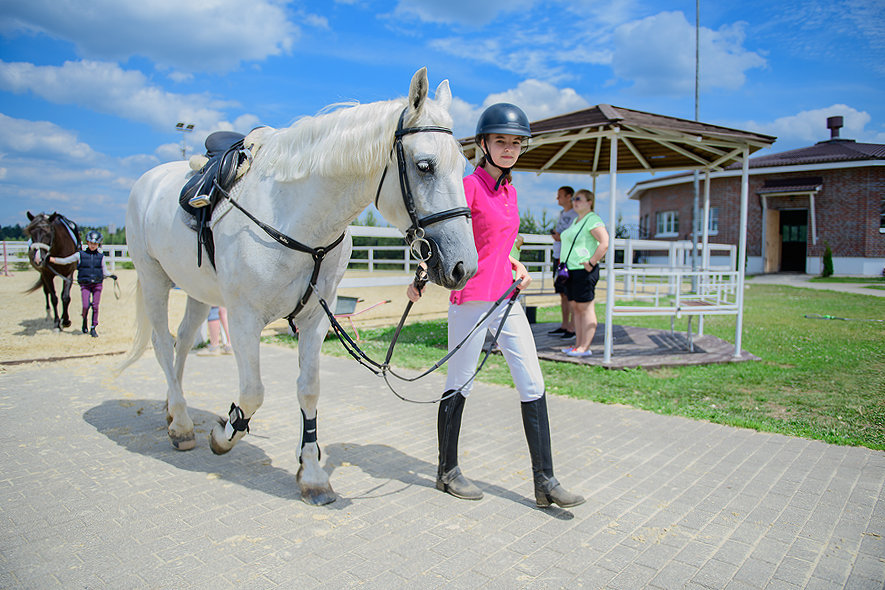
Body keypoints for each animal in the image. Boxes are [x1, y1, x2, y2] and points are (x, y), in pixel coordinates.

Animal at [119, 67, 476, 506]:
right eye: (425, 166)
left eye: (462, 166)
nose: (463, 266)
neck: (294, 218)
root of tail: (148, 181)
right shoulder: (243, 318)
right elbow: (252, 392)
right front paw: (224, 433)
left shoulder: (315, 320)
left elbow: (308, 390)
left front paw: (312, 474)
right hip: (153, 279)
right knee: (161, 345)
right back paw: (183, 425)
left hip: (197, 292)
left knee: (183, 342)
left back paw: (175, 410)